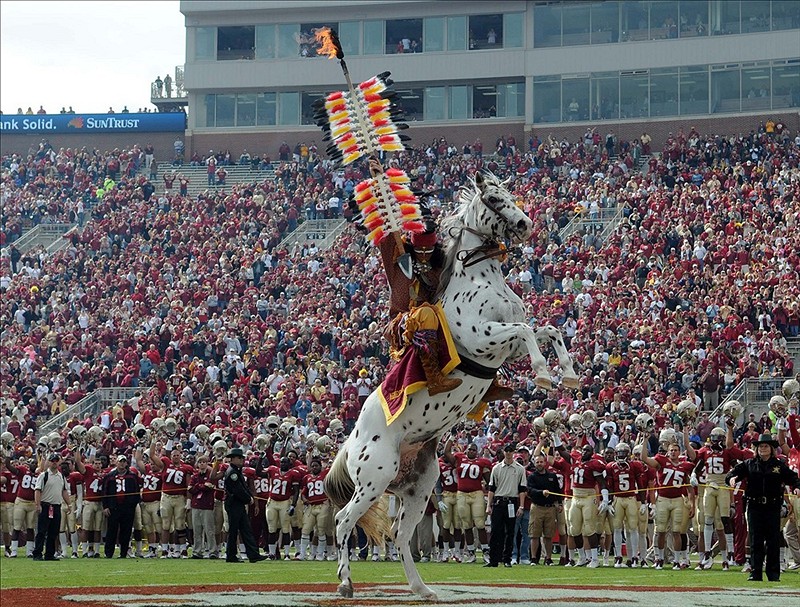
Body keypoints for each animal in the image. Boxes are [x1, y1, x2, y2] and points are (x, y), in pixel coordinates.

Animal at [322, 171, 580, 600]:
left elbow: (548, 329)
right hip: (374, 479)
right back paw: (345, 582)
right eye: (494, 199)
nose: (525, 223)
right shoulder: (484, 338)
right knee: (343, 521)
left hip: (417, 488)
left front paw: (567, 371)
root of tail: (351, 441)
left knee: (400, 535)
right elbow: (528, 329)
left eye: (509, 194)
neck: (480, 279)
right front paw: (544, 372)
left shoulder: (505, 347)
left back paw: (421, 588)